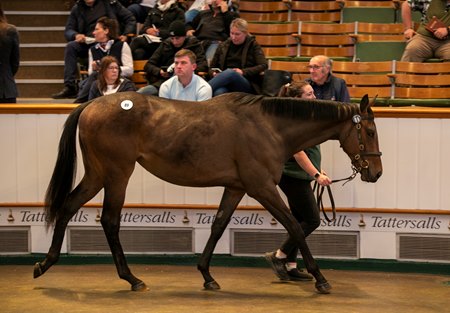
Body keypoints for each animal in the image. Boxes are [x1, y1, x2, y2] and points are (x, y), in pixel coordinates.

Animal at [33, 91, 382, 294]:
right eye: (370, 131)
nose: (376, 173)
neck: (269, 127)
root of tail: (92, 103)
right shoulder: (262, 187)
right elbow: (295, 225)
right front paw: (320, 278)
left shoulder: (236, 187)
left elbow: (218, 225)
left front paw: (206, 275)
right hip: (117, 173)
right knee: (109, 220)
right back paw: (131, 278)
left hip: (97, 174)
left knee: (68, 206)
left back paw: (45, 264)